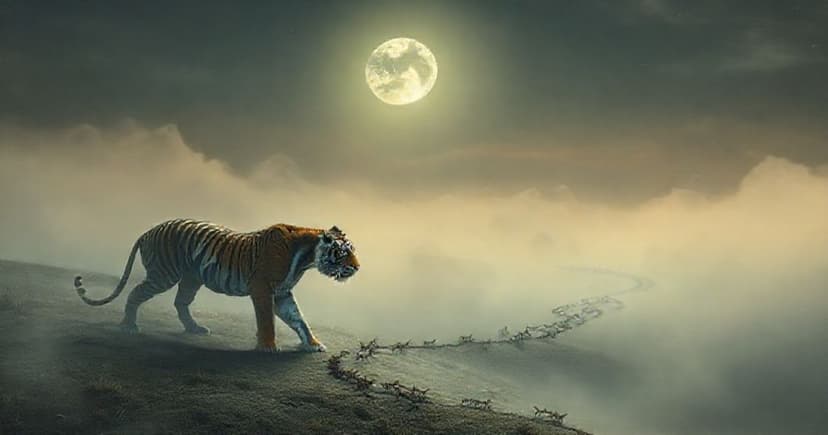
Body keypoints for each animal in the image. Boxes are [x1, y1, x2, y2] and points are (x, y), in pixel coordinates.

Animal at [73, 218, 359, 352]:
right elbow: (267, 320)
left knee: (180, 302)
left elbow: (299, 319)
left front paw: (313, 344)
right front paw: (268, 347)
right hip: (163, 275)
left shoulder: (282, 293)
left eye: (352, 251)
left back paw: (195, 328)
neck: (306, 258)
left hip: (191, 278)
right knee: (135, 293)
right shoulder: (263, 289)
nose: (357, 268)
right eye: (343, 253)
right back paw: (129, 326)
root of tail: (147, 231)